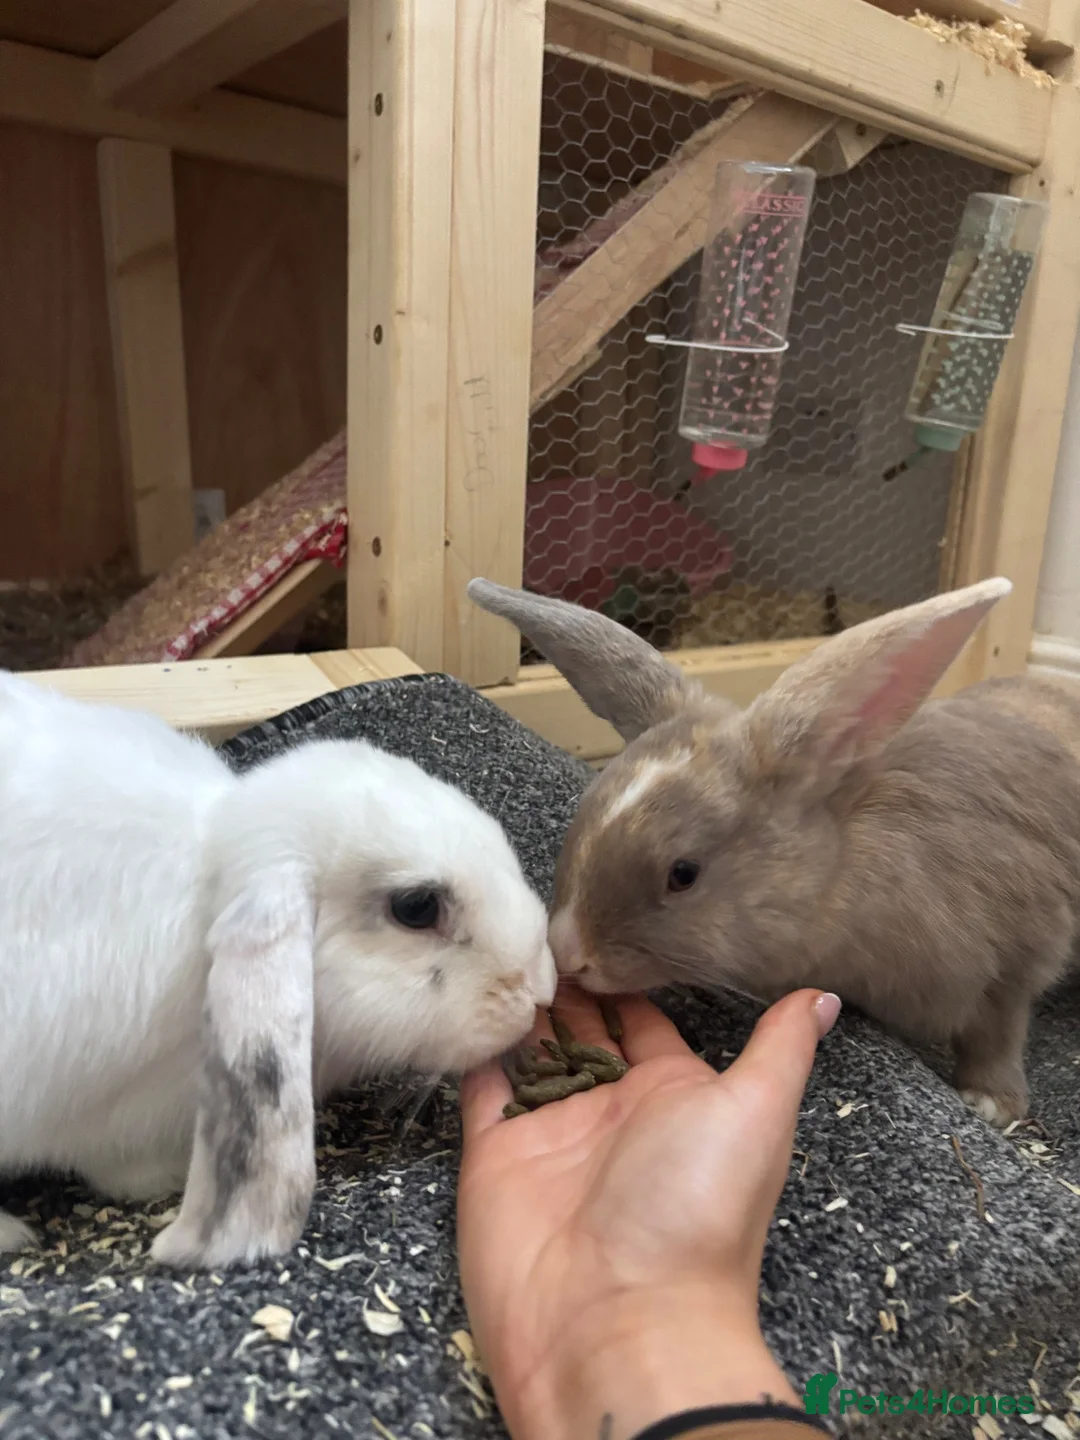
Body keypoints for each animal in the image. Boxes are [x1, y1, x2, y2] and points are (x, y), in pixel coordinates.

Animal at [468, 573, 1080, 1129]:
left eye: (683, 874)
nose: (569, 953)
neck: (840, 871)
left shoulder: (1023, 951)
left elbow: (1000, 1028)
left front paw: (993, 1104)